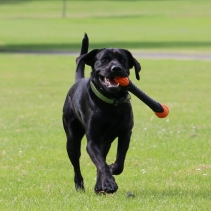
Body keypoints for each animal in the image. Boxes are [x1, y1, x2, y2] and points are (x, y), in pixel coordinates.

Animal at [63, 33, 142, 194]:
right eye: (104, 59)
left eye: (123, 60)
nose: (116, 68)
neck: (111, 104)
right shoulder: (92, 141)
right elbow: (101, 163)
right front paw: (109, 183)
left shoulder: (125, 134)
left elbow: (118, 162)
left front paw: (110, 173)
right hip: (72, 140)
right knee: (77, 165)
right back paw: (80, 186)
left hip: (106, 143)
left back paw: (99, 185)